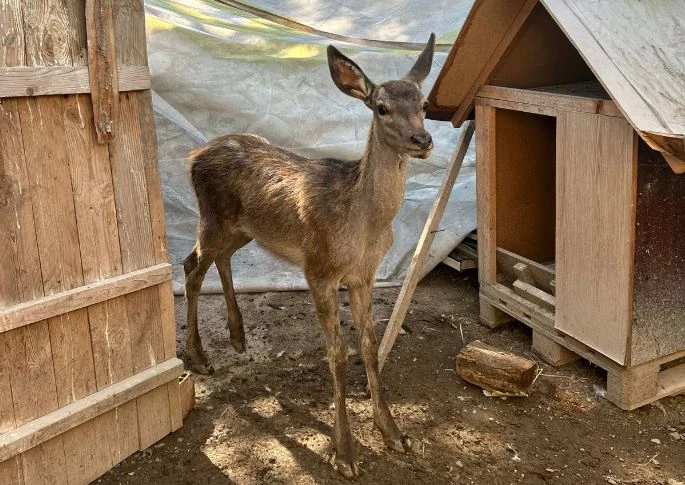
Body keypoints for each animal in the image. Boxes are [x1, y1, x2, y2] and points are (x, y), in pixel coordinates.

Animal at [184, 35, 432, 480]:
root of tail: (193, 155)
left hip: (243, 229)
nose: (423, 140)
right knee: (192, 269)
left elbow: (369, 344)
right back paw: (200, 357)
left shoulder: (365, 274)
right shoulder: (318, 268)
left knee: (210, 261)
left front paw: (393, 432)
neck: (363, 227)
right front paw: (345, 453)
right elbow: (338, 353)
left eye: (424, 103)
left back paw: (238, 335)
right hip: (211, 216)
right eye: (381, 107)